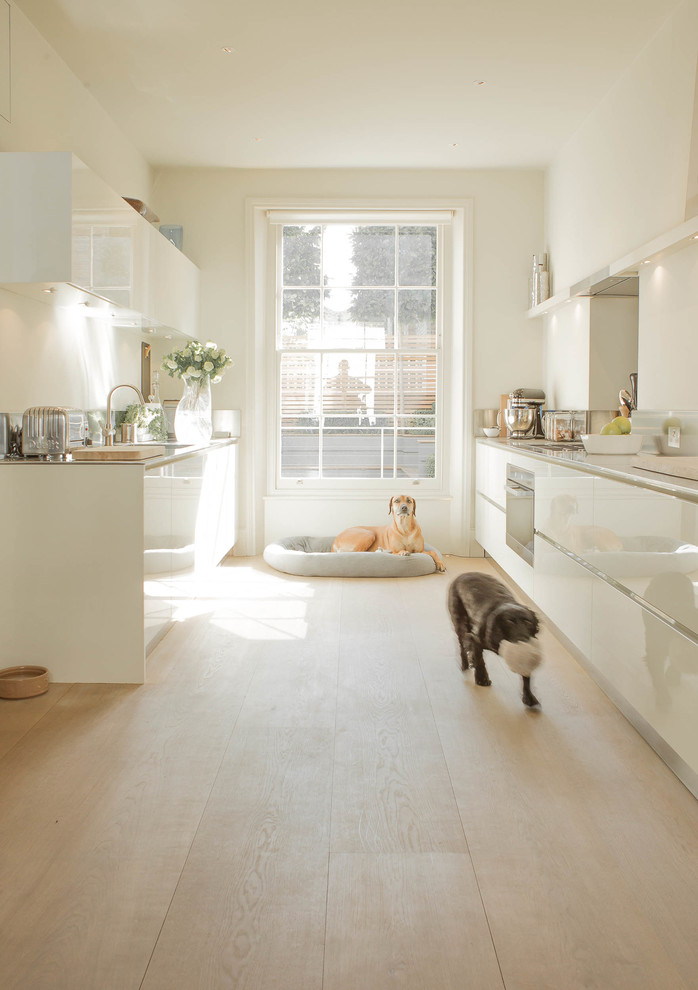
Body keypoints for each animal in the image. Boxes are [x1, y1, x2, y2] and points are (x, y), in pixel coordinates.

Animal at [448, 572, 540, 704]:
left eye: (527, 621)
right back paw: (465, 665)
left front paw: (529, 696)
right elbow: (480, 661)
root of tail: (462, 575)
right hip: (460, 624)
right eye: (509, 621)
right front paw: (482, 679)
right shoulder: (477, 640)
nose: (523, 640)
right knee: (462, 647)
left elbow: (526, 674)